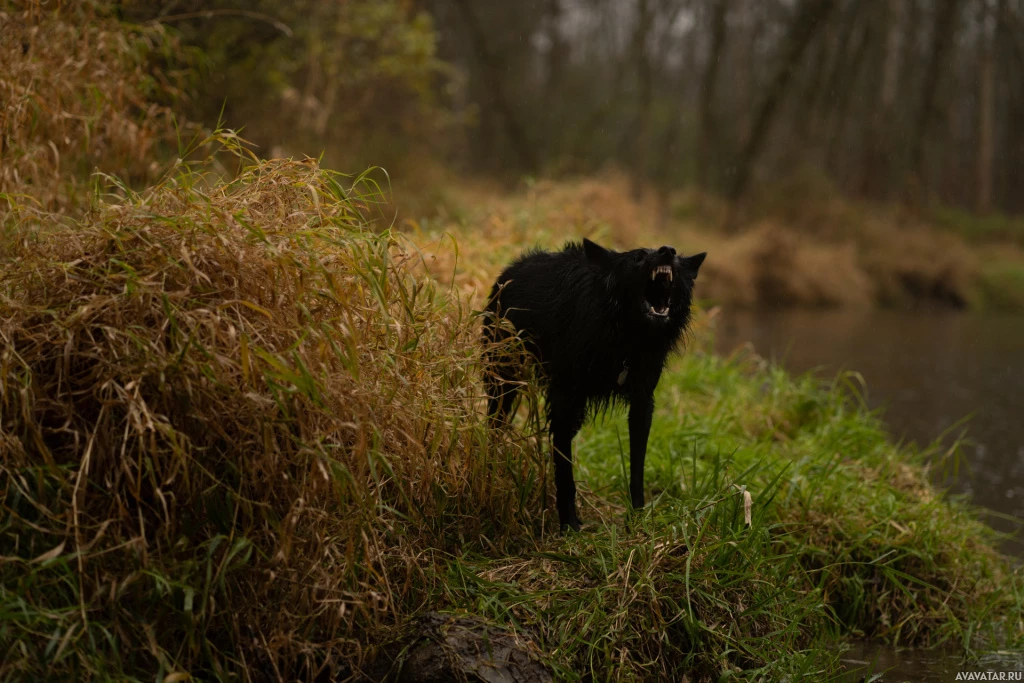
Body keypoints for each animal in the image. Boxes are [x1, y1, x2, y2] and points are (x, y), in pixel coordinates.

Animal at [483, 240, 708, 532]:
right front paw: (569, 524)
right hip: (503, 382)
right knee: (494, 428)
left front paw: (636, 520)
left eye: (678, 260)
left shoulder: (642, 403)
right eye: (638, 257)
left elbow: (637, 470)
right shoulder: (564, 400)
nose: (667, 250)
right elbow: (564, 469)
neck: (626, 338)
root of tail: (510, 270)